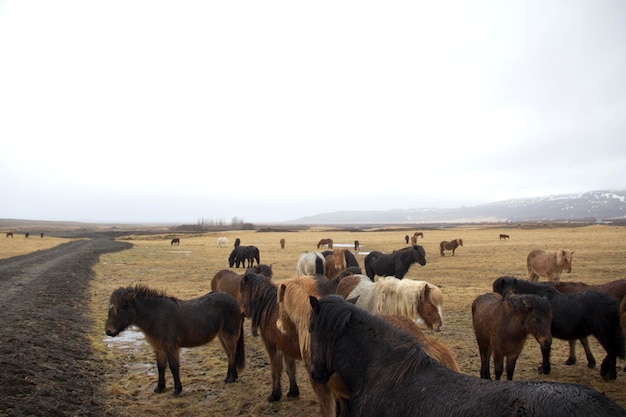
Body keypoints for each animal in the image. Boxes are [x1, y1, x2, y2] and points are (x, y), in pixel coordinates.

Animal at [105, 282, 244, 394]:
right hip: (222, 336)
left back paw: (230, 379)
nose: (108, 331)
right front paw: (159, 388)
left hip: (228, 335)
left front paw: (177, 389)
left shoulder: (170, 347)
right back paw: (232, 377)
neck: (156, 315)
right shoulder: (158, 348)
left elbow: (173, 367)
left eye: (120, 308)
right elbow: (160, 367)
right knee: (230, 354)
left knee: (232, 355)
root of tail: (236, 303)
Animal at [236, 272, 300, 402]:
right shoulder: (286, 347)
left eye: (242, 292)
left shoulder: (272, 346)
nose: (242, 312)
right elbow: (290, 368)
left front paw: (275, 395)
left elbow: (275, 371)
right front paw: (293, 391)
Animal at [490, 276, 620, 380]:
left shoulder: (544, 334)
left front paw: (545, 369)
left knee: (613, 350)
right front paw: (544, 368)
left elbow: (544, 349)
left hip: (604, 333)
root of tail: (614, 303)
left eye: (496, 290)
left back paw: (609, 374)